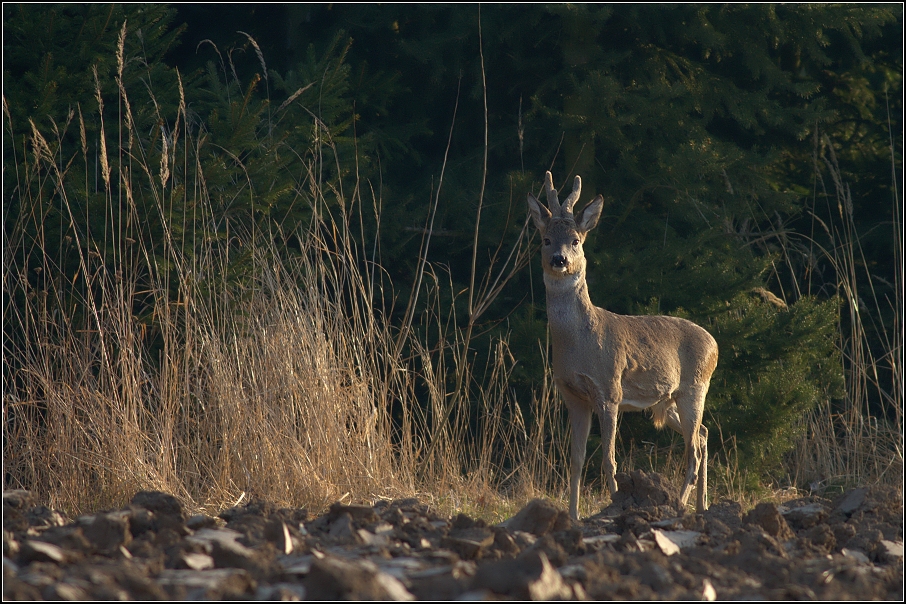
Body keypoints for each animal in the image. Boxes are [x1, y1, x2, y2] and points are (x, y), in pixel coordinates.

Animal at [528, 170, 716, 520]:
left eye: (575, 241)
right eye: (545, 240)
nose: (559, 259)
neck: (578, 344)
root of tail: (715, 345)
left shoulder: (608, 389)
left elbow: (608, 460)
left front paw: (615, 505)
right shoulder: (573, 396)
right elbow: (575, 461)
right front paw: (572, 516)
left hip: (695, 388)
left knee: (694, 450)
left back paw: (681, 504)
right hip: (667, 401)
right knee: (704, 435)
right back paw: (702, 506)